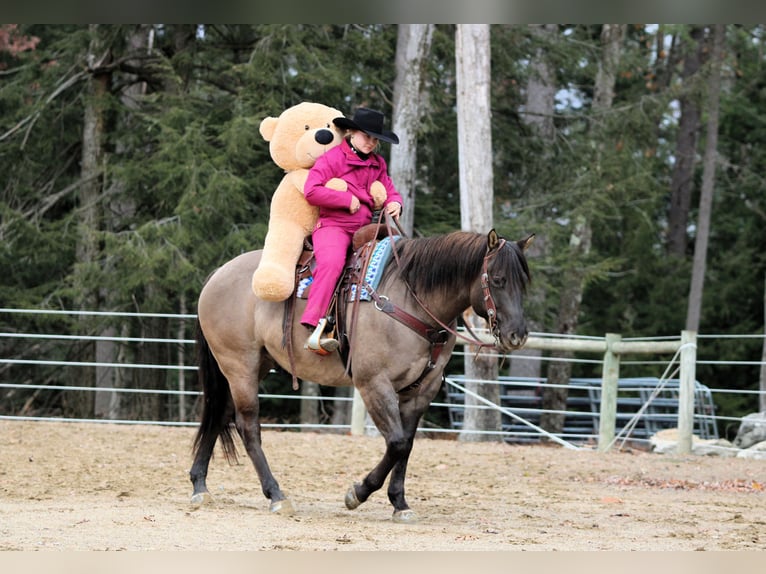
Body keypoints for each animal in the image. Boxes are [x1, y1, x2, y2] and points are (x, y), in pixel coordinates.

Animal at [189, 228, 533, 523]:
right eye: (499, 280)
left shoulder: (422, 390)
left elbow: (406, 445)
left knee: (220, 414)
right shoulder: (374, 384)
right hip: (240, 365)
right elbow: (396, 443)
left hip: (254, 365)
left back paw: (199, 486)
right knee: (248, 426)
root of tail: (217, 275)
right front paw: (358, 493)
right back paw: (276, 495)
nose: (517, 335)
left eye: (524, 283)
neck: (411, 300)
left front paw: (400, 503)